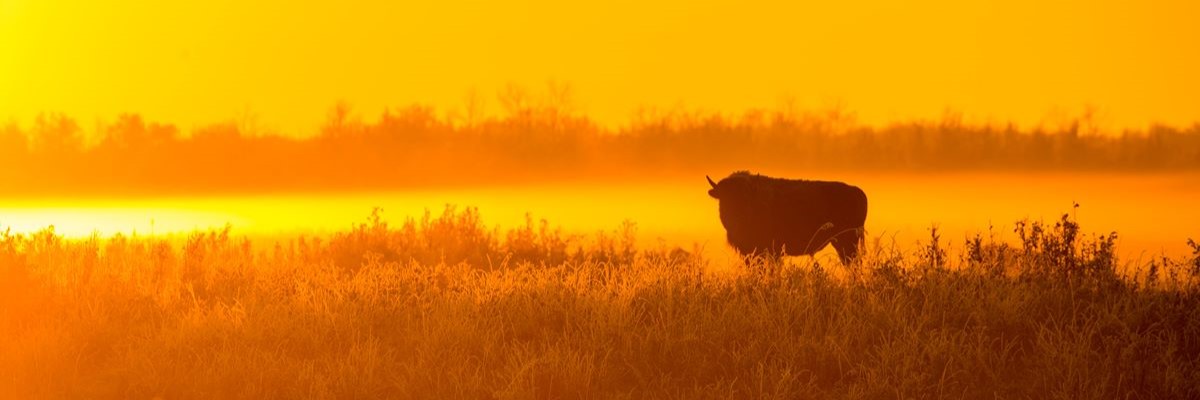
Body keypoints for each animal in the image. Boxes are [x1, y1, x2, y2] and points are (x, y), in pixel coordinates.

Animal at [707, 171, 868, 264]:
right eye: (725, 197)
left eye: (746, 197)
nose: (738, 216)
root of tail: (857, 191)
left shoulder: (770, 252)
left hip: (846, 243)